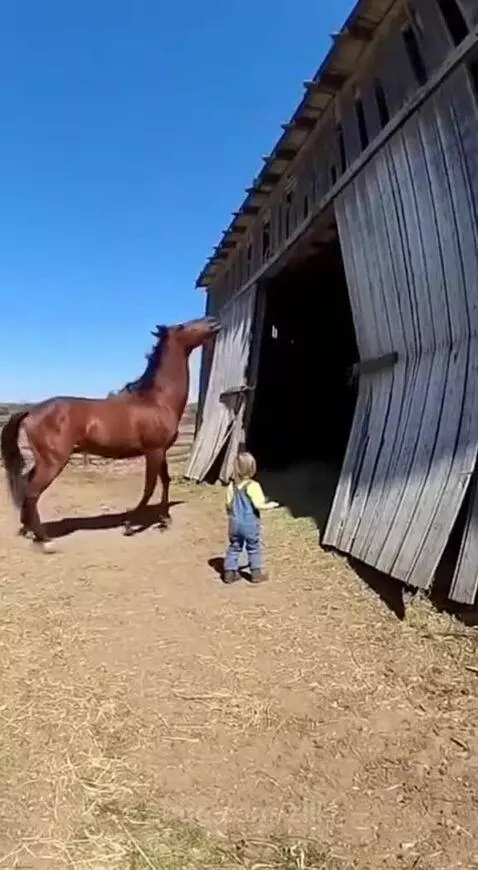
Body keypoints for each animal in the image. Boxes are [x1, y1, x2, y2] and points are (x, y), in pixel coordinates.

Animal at [0, 315, 220, 550]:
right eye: (182, 326)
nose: (212, 321)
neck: (157, 401)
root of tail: (32, 411)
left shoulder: (161, 451)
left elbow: (165, 481)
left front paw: (164, 519)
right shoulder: (153, 451)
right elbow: (149, 487)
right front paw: (130, 525)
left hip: (43, 460)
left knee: (26, 485)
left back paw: (28, 528)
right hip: (53, 461)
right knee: (33, 492)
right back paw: (44, 538)